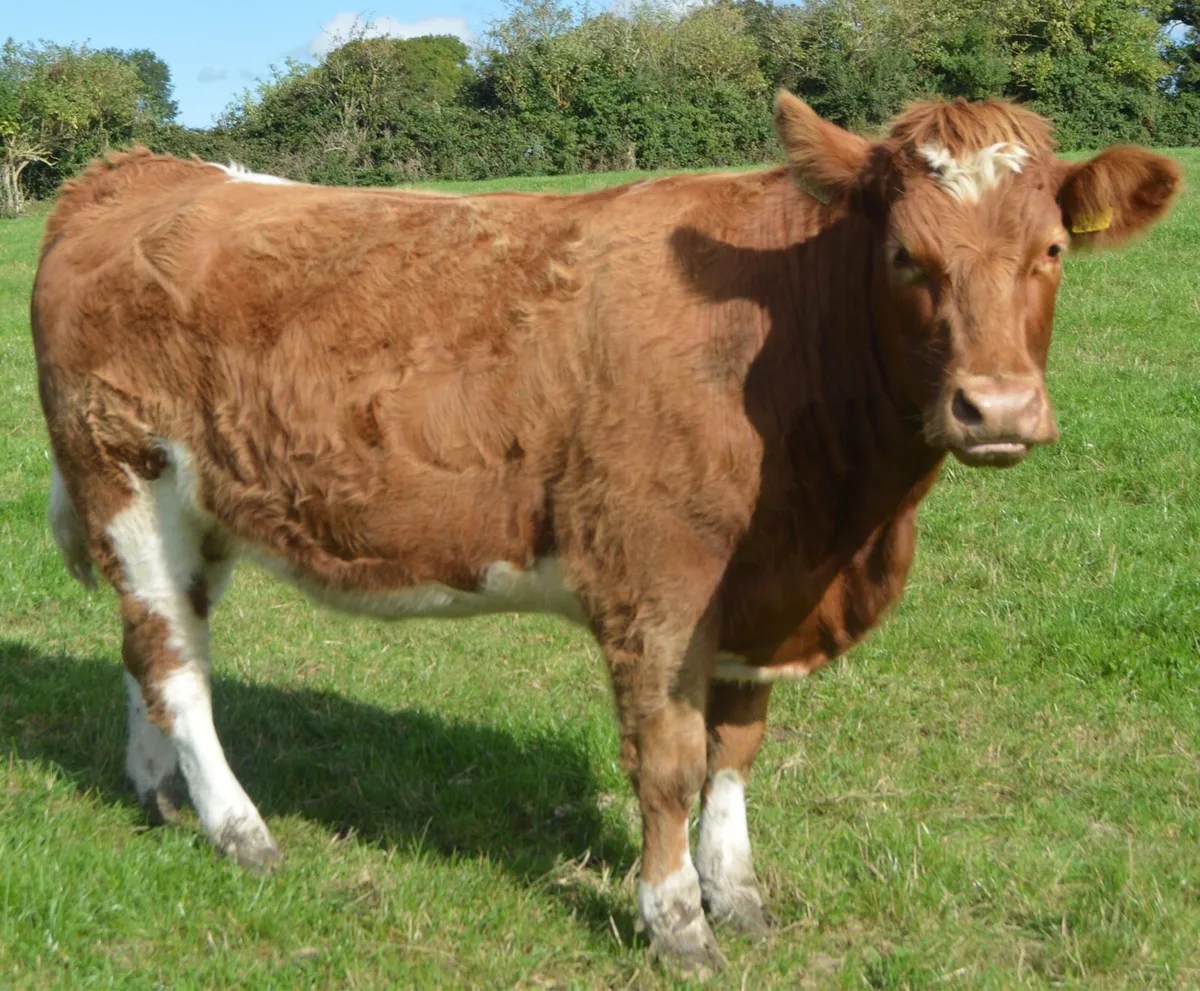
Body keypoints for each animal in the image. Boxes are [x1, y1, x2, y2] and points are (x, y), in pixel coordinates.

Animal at [31, 91, 1179, 973]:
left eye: (1052, 250)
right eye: (905, 255)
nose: (998, 408)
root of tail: (138, 172)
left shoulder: (764, 588)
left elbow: (736, 751)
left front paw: (738, 894)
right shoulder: (657, 582)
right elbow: (668, 759)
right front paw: (675, 922)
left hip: (201, 507)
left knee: (155, 641)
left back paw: (160, 796)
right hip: (122, 475)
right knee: (172, 660)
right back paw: (240, 830)